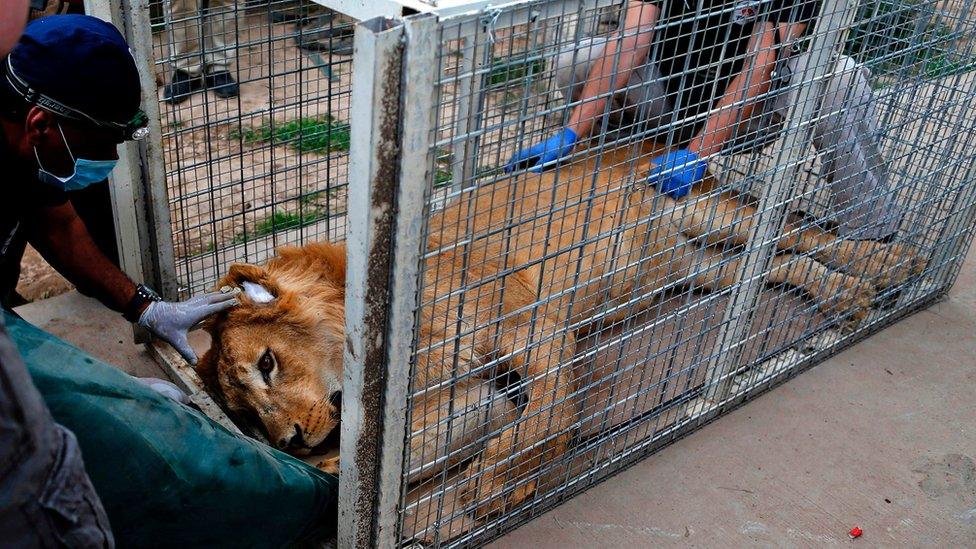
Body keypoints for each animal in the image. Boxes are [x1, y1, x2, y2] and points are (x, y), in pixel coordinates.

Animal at [196, 139, 924, 516]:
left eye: (267, 363)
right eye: (249, 416)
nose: (288, 441)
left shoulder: (538, 329)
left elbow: (554, 415)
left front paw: (494, 484)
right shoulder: (473, 386)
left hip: (702, 210)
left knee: (796, 233)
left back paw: (887, 262)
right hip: (687, 265)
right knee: (779, 262)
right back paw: (852, 292)